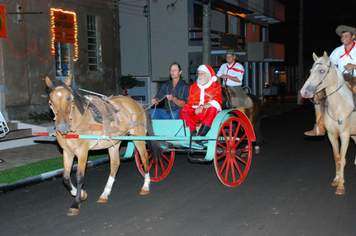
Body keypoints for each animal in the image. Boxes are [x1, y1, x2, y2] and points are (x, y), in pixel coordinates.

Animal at [45, 76, 159, 216]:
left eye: (68, 98)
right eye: (51, 101)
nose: (62, 127)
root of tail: (138, 104)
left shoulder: (82, 152)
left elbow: (79, 177)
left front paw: (76, 203)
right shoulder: (67, 152)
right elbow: (65, 177)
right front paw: (82, 194)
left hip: (138, 137)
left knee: (144, 158)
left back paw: (146, 185)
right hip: (114, 142)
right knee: (115, 164)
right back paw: (105, 193)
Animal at [300, 52, 356, 195]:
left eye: (322, 71)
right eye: (310, 71)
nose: (304, 92)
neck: (338, 107)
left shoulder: (345, 135)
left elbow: (342, 159)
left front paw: (341, 186)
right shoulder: (332, 135)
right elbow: (336, 157)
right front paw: (337, 179)